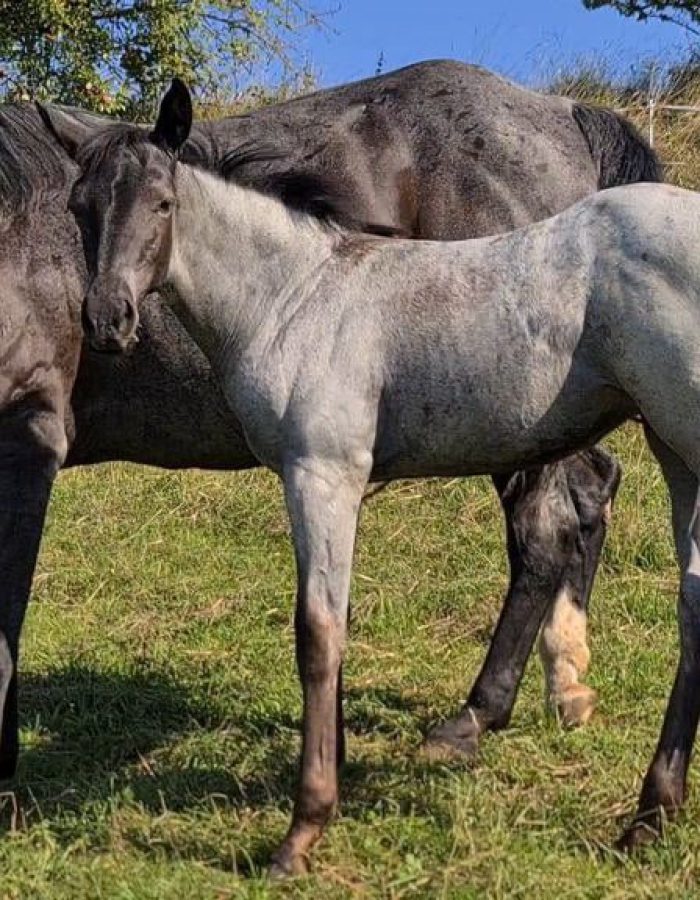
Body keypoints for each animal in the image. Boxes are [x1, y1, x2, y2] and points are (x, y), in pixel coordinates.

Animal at [44, 80, 694, 875]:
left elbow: (318, 633)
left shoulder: (323, 473)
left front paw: (304, 829)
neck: (296, 295)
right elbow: (337, 621)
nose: (107, 320)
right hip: (670, 448)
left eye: (163, 203)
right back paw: (648, 815)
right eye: (80, 204)